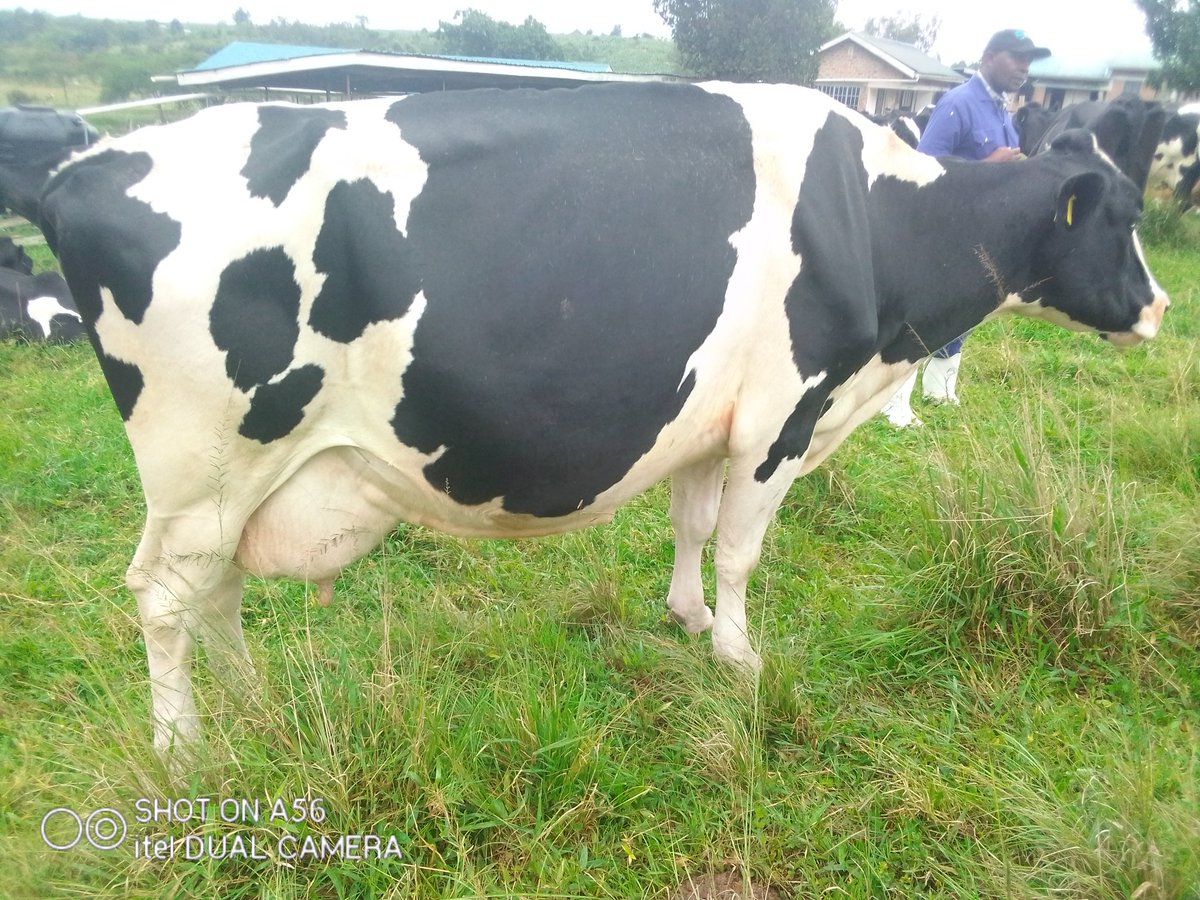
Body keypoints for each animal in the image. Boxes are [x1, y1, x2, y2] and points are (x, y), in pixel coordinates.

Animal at [37, 82, 1168, 754]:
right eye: (1119, 217)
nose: (1159, 306)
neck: (877, 221)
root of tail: (83, 169)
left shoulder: (712, 419)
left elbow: (694, 527)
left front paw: (689, 619)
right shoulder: (783, 413)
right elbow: (743, 549)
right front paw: (742, 659)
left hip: (237, 478)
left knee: (216, 592)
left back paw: (253, 700)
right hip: (205, 462)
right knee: (164, 598)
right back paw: (183, 743)